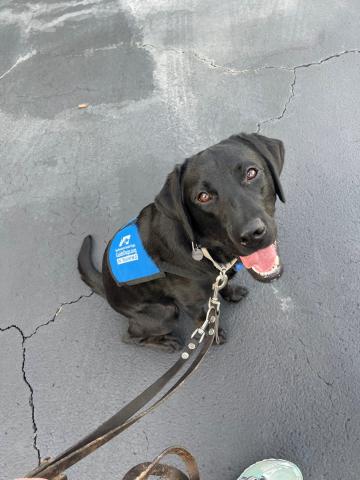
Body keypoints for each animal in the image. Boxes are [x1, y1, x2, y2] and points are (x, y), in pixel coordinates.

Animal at [78, 133, 284, 350]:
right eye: (203, 197)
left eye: (251, 173)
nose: (252, 234)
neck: (206, 249)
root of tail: (105, 284)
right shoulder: (189, 303)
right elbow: (203, 319)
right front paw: (213, 334)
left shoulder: (218, 276)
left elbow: (222, 285)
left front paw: (231, 292)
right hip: (165, 312)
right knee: (130, 336)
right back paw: (166, 342)